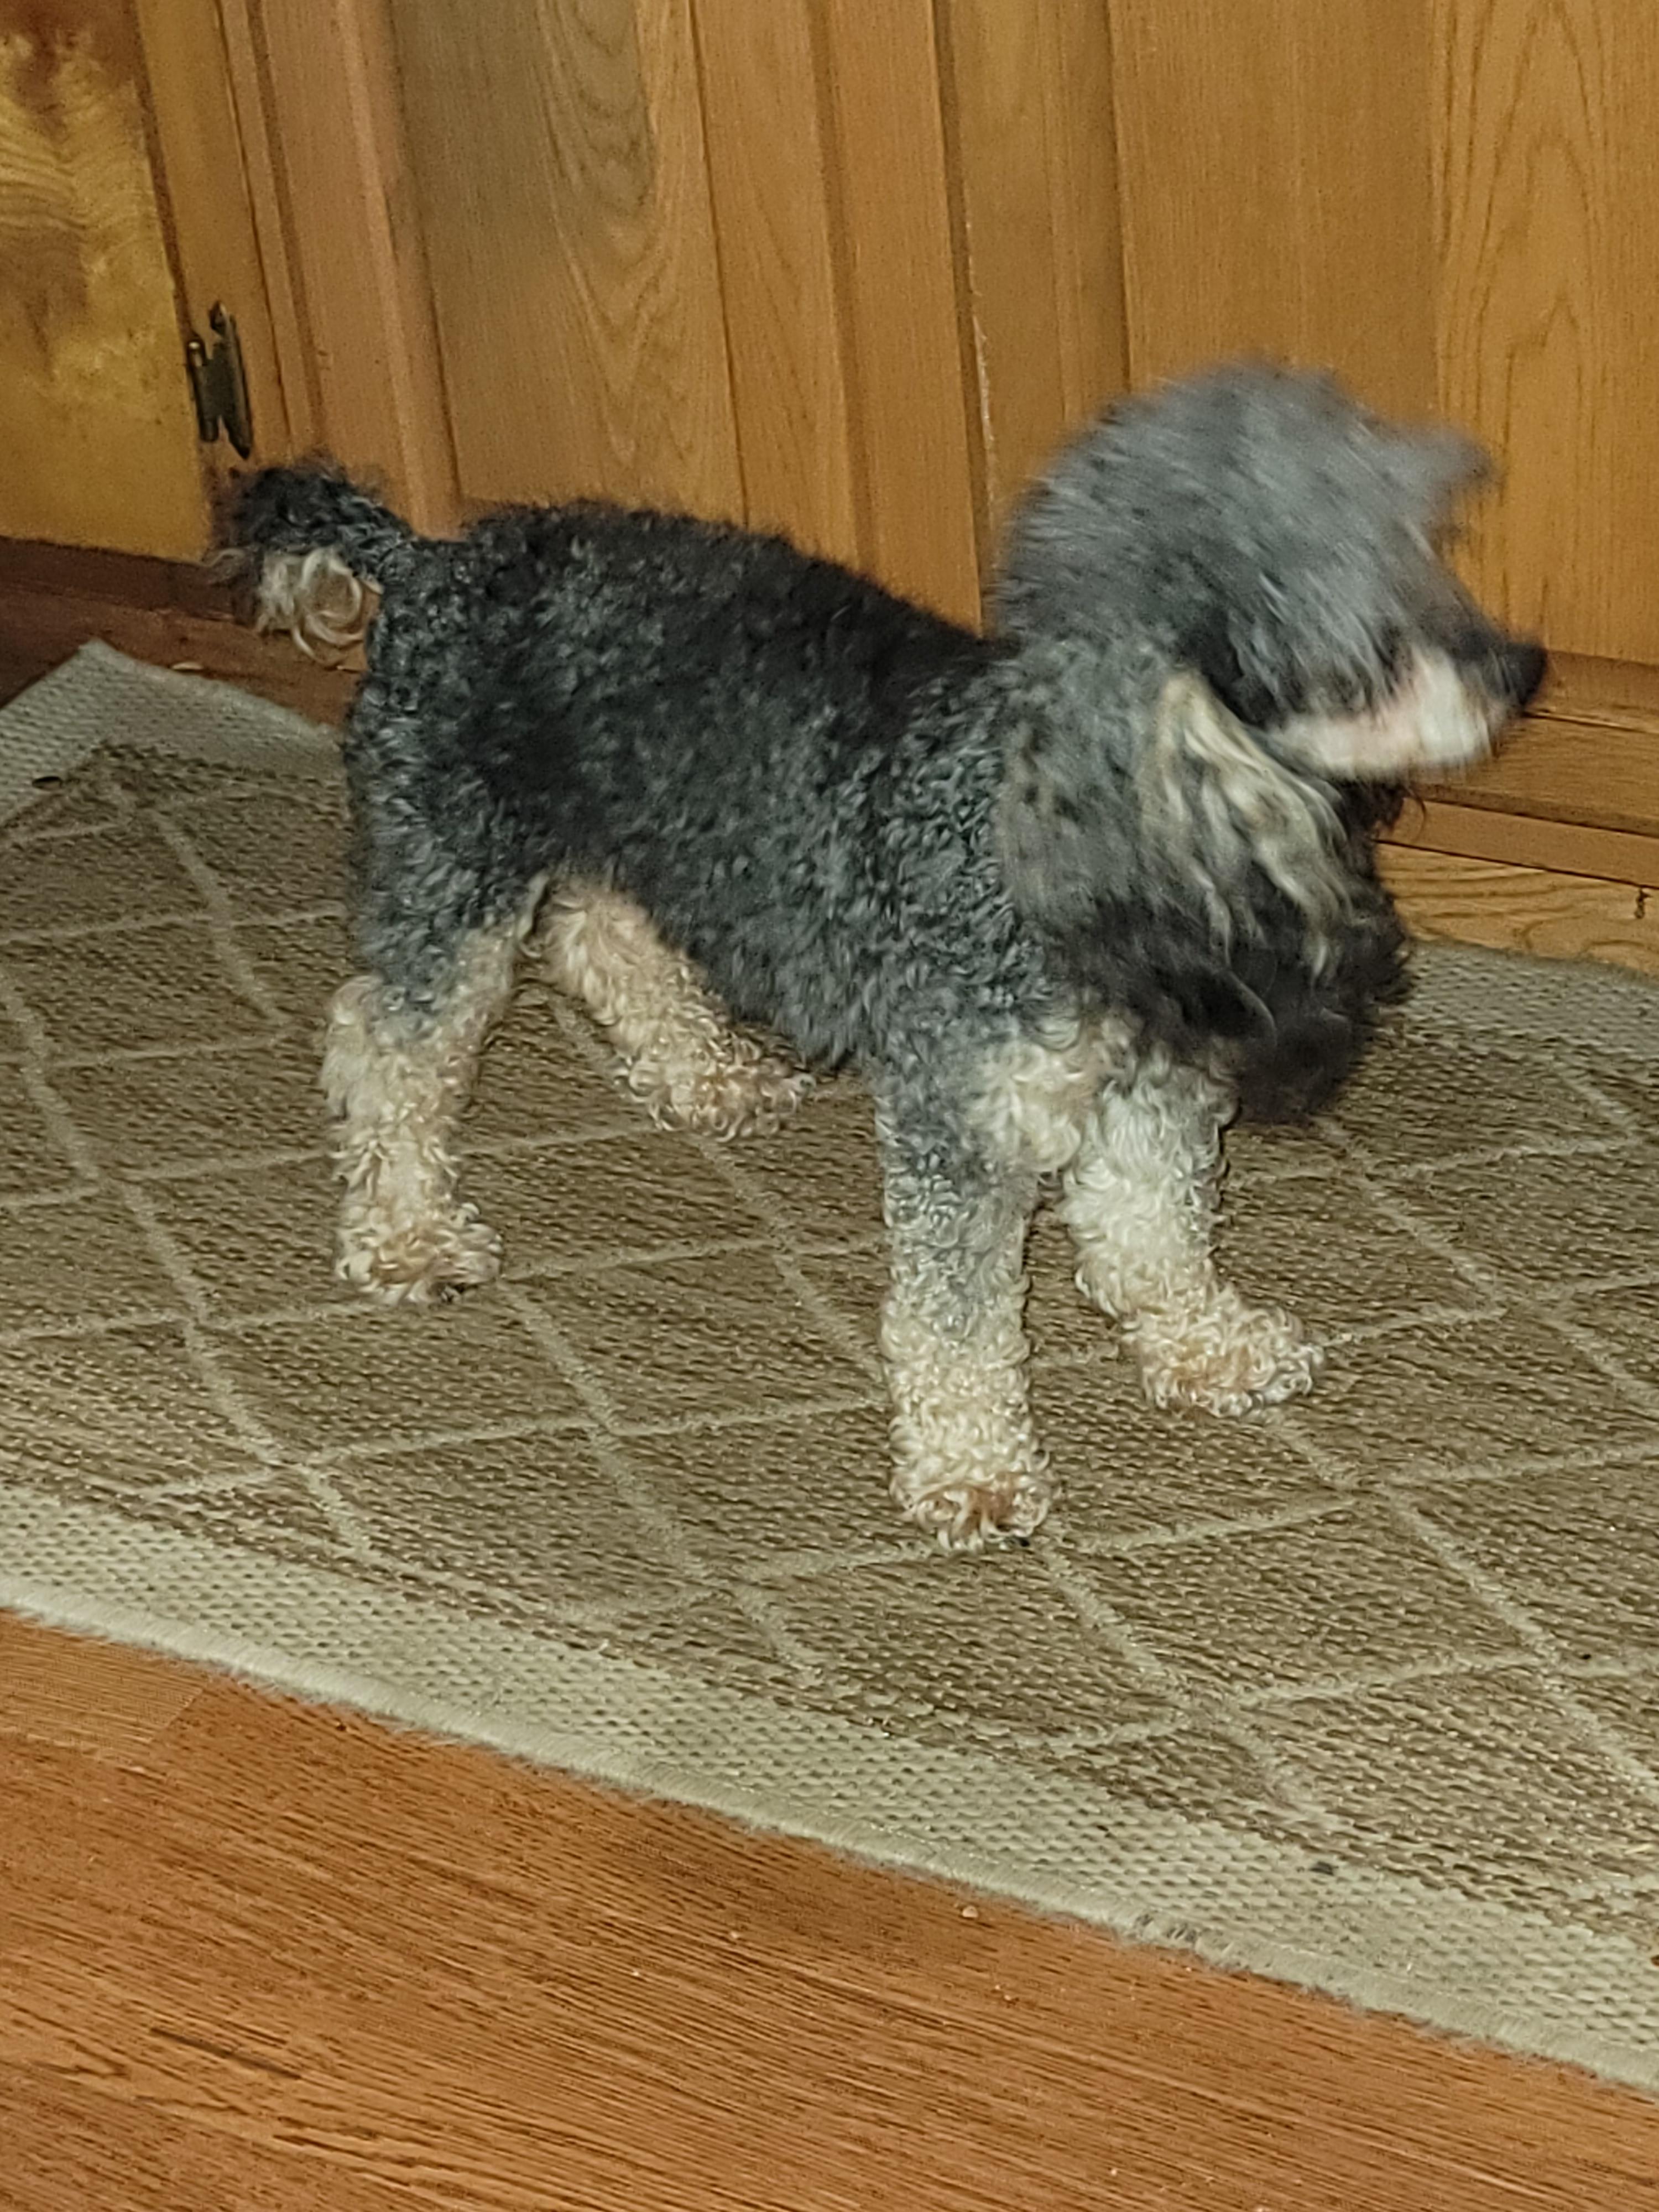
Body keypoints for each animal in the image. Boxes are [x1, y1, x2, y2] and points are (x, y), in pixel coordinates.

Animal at [229, 363, 1545, 1550]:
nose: (1523, 665)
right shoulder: (959, 1127)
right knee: (389, 1048)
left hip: (640, 838)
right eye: (1363, 642)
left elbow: (1155, 1231)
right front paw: (974, 1473)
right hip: (451, 879)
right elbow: (955, 1323)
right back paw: (405, 1230)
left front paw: (1204, 1343)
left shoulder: (1149, 1092)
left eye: (1420, 559)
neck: (1058, 844)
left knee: (609, 940)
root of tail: (432, 562)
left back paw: (708, 1074)